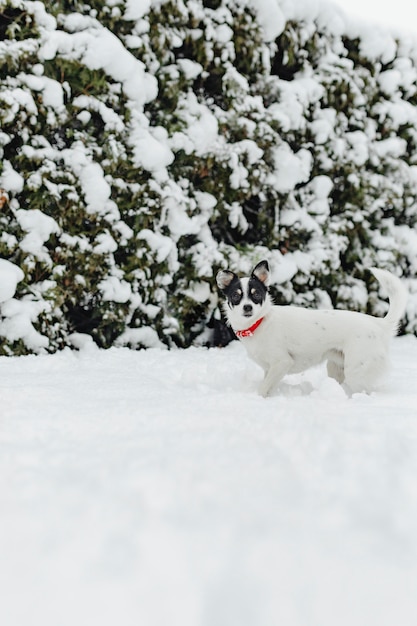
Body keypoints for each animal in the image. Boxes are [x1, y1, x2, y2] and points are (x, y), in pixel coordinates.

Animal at [216, 258, 404, 394]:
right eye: (236, 296)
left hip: (356, 370)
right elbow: (268, 385)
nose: (247, 307)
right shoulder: (270, 369)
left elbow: (263, 388)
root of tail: (379, 323)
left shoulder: (282, 363)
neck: (259, 323)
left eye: (256, 295)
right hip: (336, 368)